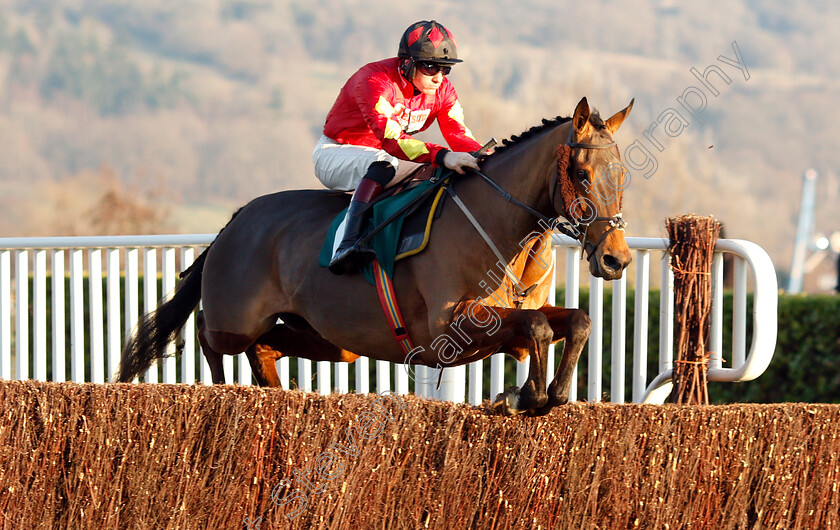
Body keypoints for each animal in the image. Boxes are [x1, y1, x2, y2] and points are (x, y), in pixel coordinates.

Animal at [116, 97, 632, 414]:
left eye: (622, 174)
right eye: (582, 174)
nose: (616, 260)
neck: (504, 229)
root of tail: (235, 221)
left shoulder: (510, 316)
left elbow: (574, 320)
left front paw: (545, 394)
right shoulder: (448, 328)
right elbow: (538, 326)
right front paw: (522, 396)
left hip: (331, 338)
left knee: (266, 346)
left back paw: (273, 393)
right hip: (236, 319)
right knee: (208, 330)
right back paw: (220, 387)